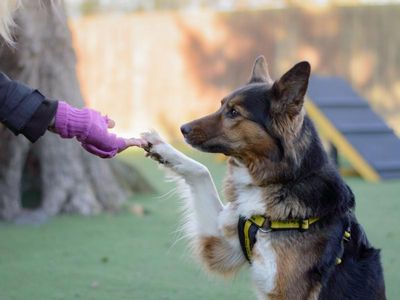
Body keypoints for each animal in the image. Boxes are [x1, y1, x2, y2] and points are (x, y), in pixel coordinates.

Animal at [142, 56, 386, 300]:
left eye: (234, 112)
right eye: (221, 105)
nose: (183, 129)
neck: (281, 181)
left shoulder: (285, 292)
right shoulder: (223, 246)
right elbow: (202, 171)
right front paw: (161, 148)